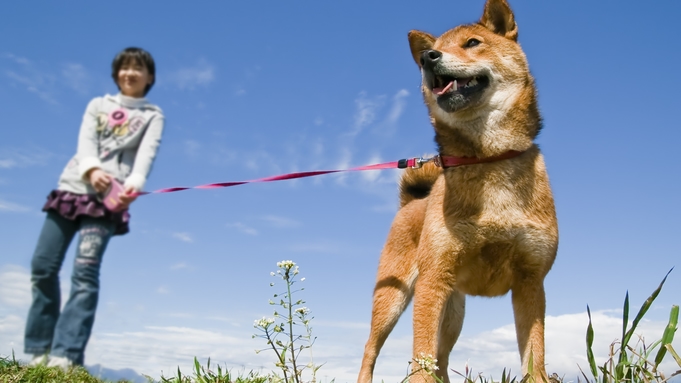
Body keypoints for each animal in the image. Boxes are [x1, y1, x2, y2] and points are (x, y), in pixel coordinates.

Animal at [356, 0, 556, 383]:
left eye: (473, 43)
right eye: (433, 50)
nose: (427, 57)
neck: (488, 158)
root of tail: (411, 203)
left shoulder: (531, 281)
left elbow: (535, 355)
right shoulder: (433, 281)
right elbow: (420, 358)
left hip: (452, 312)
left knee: (442, 356)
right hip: (393, 300)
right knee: (371, 351)